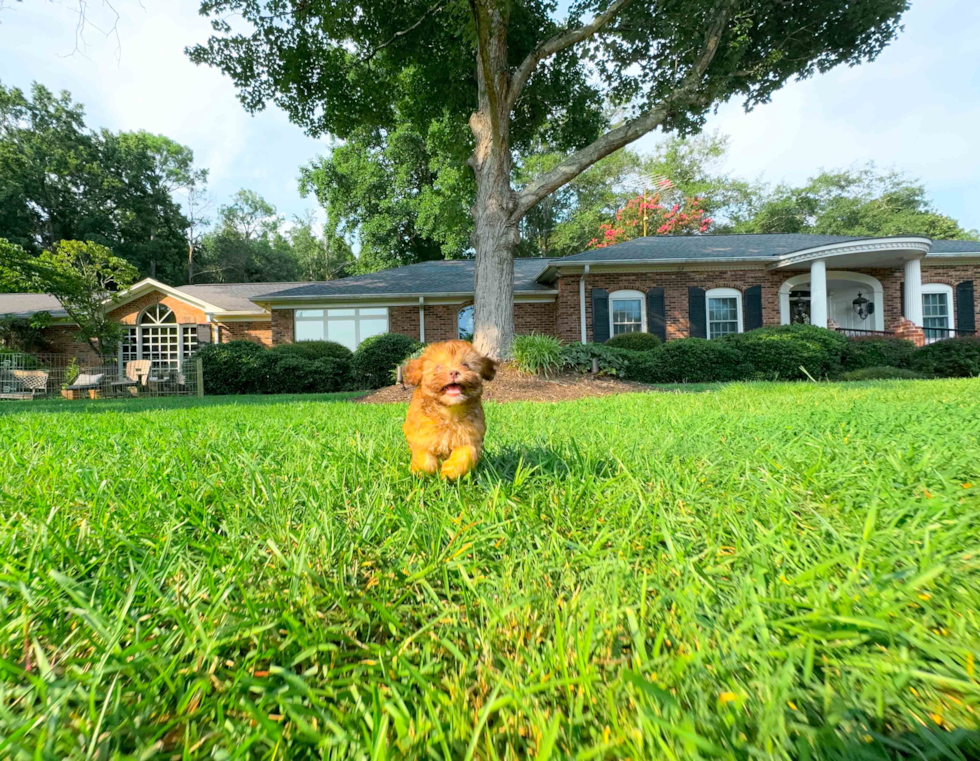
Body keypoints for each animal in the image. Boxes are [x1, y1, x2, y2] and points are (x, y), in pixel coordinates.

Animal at [402, 340, 498, 478]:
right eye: (438, 367)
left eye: (465, 365)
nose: (454, 372)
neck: (449, 412)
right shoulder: (418, 436)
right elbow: (424, 458)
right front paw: (423, 471)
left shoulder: (471, 437)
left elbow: (467, 452)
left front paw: (449, 471)